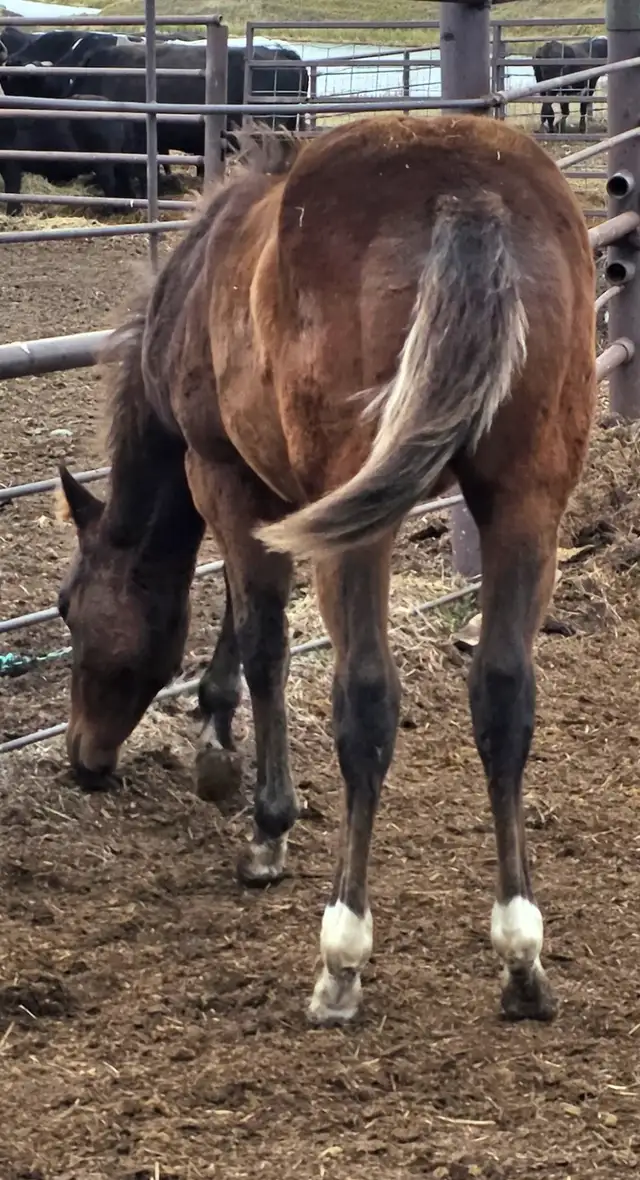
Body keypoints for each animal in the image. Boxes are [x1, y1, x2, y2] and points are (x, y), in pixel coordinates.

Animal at [57, 113, 596, 1028]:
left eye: (68, 610)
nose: (82, 761)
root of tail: (468, 191)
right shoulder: (277, 495)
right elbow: (240, 613)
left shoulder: (224, 475)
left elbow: (265, 640)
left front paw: (261, 819)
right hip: (526, 498)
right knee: (504, 694)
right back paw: (521, 955)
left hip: (361, 527)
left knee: (368, 704)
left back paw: (342, 957)